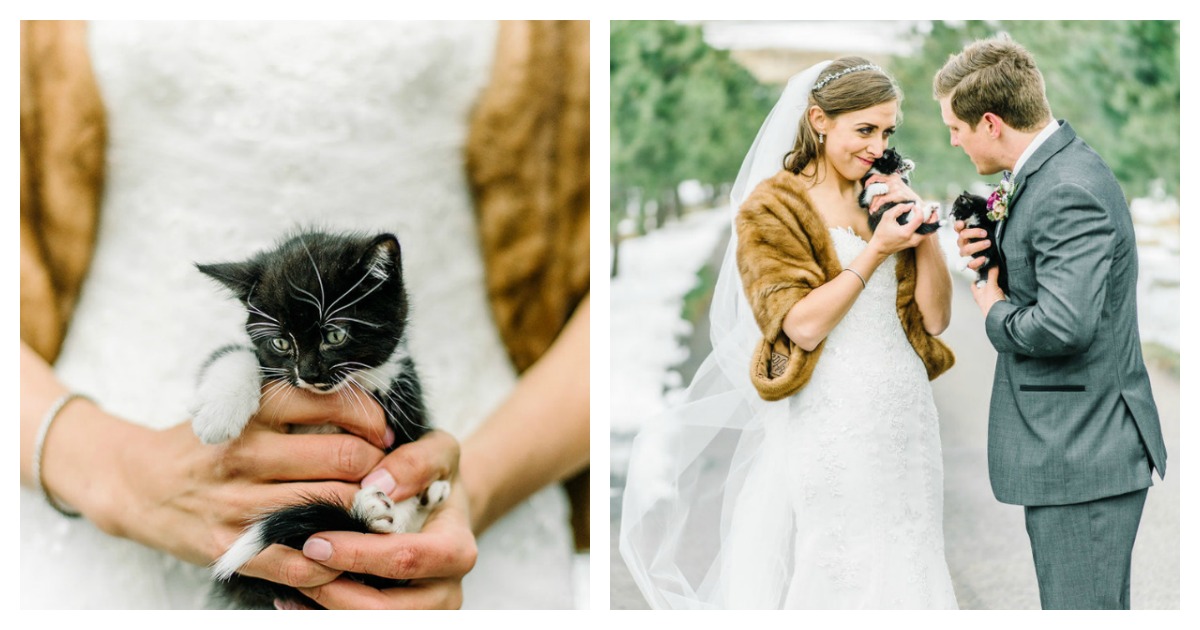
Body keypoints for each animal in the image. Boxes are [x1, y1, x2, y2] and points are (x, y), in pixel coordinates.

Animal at [194, 230, 448, 609]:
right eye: (281, 342)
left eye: (335, 336)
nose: (308, 374)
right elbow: (236, 353)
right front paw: (216, 414)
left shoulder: (405, 391)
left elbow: (404, 452)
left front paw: (384, 513)